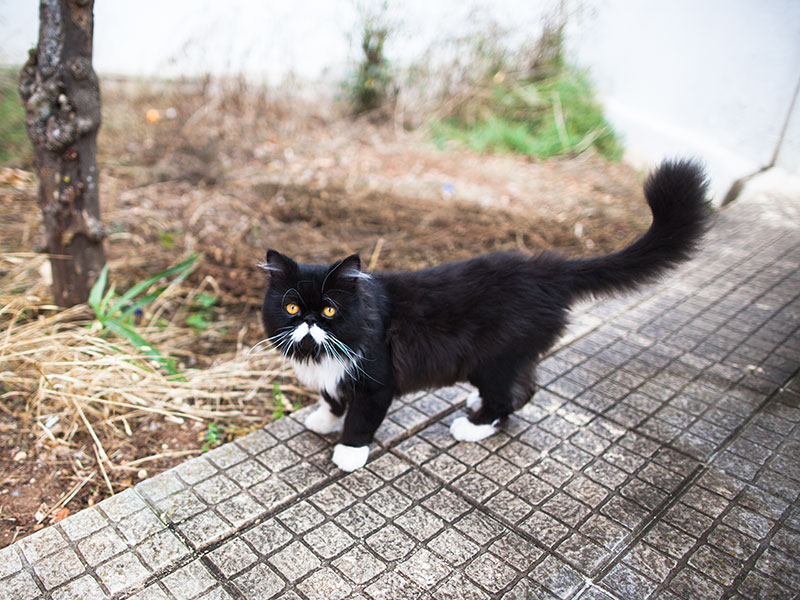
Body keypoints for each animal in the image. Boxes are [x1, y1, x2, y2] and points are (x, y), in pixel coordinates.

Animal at [260, 161, 708, 474]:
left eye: (330, 309)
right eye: (293, 307)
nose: (310, 320)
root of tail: (549, 268)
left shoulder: (376, 382)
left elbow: (359, 419)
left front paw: (348, 453)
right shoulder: (335, 377)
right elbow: (332, 396)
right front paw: (323, 419)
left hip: (495, 357)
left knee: (507, 398)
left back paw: (472, 426)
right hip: (506, 358)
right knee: (523, 390)